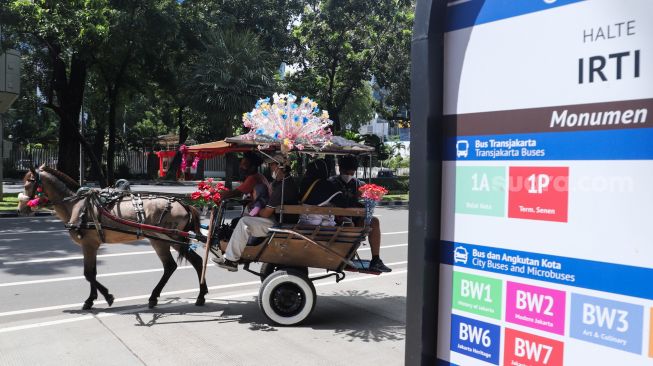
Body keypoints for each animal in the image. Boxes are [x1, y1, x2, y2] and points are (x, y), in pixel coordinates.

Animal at [17, 166, 206, 308]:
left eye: (28, 183)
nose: (21, 209)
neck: (76, 204)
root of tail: (185, 205)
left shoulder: (89, 245)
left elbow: (88, 274)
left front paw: (106, 297)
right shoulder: (92, 246)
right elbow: (92, 273)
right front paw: (92, 299)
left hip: (168, 239)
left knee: (186, 263)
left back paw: (192, 296)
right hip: (164, 240)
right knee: (179, 265)